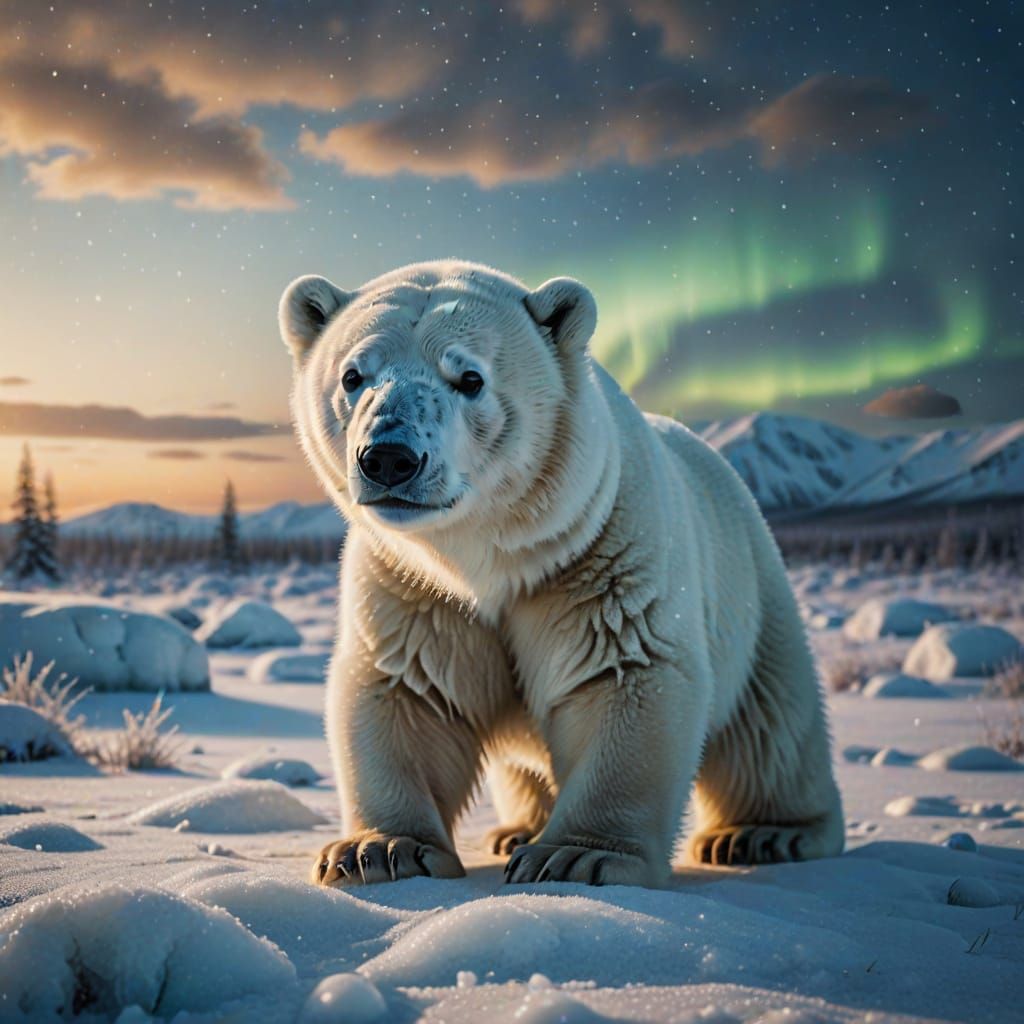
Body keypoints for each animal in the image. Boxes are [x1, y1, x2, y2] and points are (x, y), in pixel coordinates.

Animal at [279, 260, 844, 889]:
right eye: (353, 375)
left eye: (470, 378)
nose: (389, 457)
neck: (490, 559)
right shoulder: (409, 584)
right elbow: (408, 689)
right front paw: (378, 851)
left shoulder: (601, 554)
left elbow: (623, 671)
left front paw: (577, 856)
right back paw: (517, 829)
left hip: (750, 584)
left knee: (771, 726)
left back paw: (763, 833)